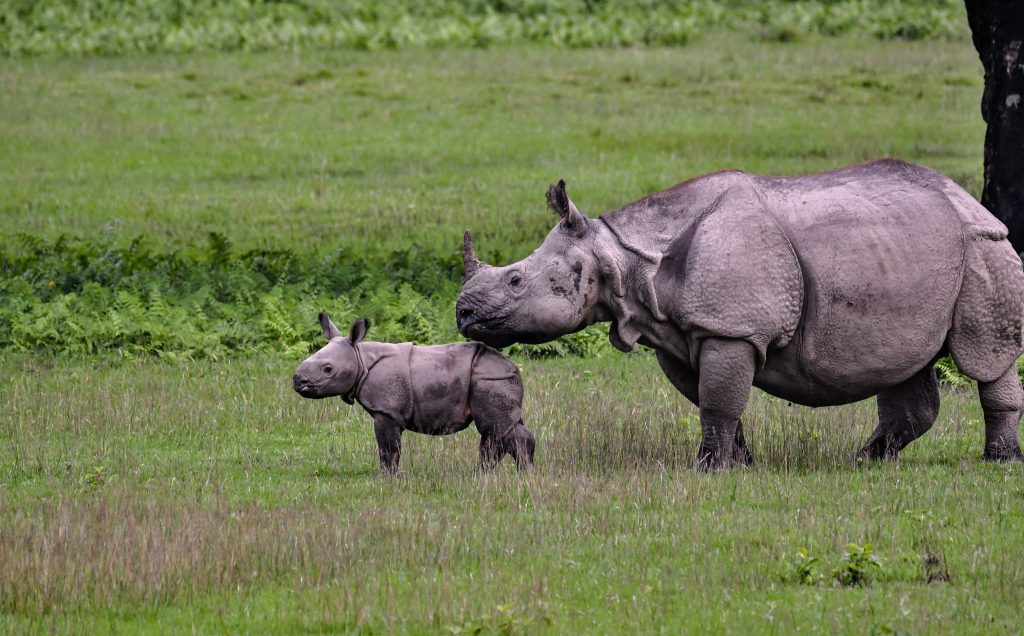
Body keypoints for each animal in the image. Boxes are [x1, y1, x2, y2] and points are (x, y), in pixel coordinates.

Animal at [293, 313, 535, 474]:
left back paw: (520, 473)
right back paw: (488, 473)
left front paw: (387, 477)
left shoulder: (387, 410)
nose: (297, 380)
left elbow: (388, 446)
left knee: (494, 427)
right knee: (498, 428)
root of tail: (513, 368)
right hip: (494, 380)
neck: (360, 357)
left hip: (490, 380)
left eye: (328, 369)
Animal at [456, 159, 1024, 470]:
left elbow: (718, 401)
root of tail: (971, 200)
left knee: (984, 356)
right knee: (908, 363)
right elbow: (715, 401)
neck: (623, 258)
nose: (463, 313)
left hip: (984, 247)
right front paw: (741, 463)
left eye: (515, 281)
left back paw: (999, 460)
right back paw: (868, 461)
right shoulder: (683, 333)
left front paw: (707, 471)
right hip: (913, 252)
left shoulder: (731, 329)